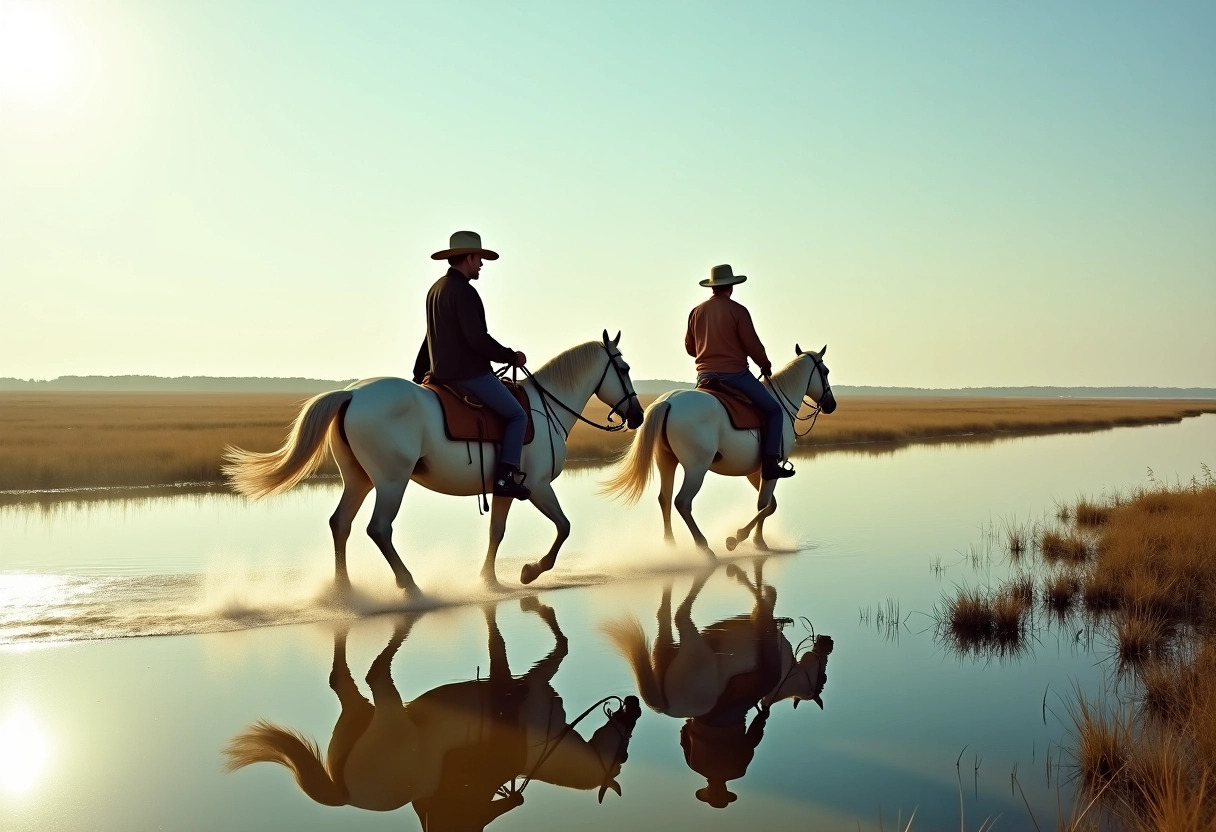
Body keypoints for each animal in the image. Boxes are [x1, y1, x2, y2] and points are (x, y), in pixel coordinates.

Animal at [226, 330, 646, 591]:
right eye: (624, 369)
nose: (637, 416)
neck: (547, 409)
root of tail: (353, 394)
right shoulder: (539, 487)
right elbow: (564, 527)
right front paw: (530, 571)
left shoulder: (506, 489)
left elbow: (496, 532)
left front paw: (489, 580)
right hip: (391, 482)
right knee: (378, 529)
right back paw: (408, 585)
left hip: (360, 480)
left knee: (340, 524)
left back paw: (344, 593)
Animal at [600, 340, 836, 554]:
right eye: (825, 371)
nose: (831, 405)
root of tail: (668, 402)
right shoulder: (771, 469)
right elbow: (765, 505)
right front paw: (745, 539)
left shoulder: (756, 471)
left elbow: (768, 505)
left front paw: (752, 540)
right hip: (696, 468)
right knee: (682, 502)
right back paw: (704, 547)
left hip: (666, 461)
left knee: (665, 499)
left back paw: (671, 546)